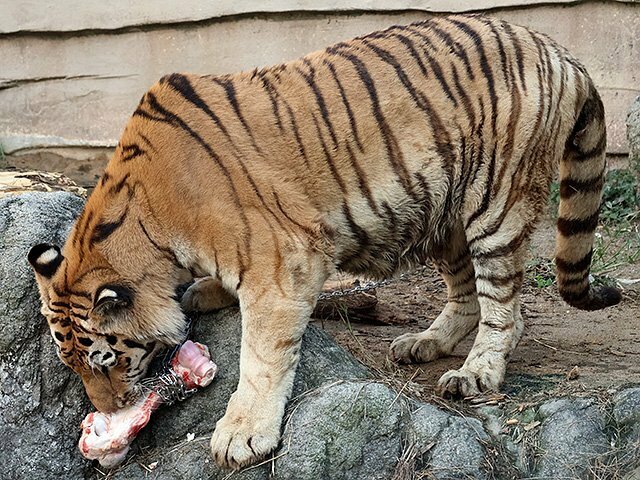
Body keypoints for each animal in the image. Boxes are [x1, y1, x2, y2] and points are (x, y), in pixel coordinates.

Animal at [26, 14, 620, 468]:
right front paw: (204, 292)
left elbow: (261, 358)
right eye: (72, 365)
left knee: (503, 303)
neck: (149, 230)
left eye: (107, 360)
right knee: (470, 294)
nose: (110, 410)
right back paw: (425, 342)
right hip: (445, 211)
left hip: (496, 203)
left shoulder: (282, 263)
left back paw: (475, 373)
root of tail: (559, 52)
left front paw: (240, 435)